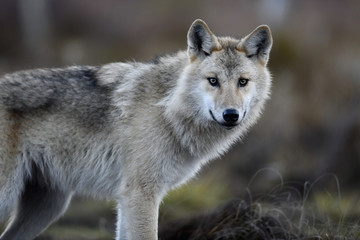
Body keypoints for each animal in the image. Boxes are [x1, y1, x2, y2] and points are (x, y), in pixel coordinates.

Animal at [0, 19, 272, 239]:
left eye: (243, 82)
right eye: (213, 81)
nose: (231, 115)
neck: (168, 108)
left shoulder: (128, 198)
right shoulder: (141, 194)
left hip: (49, 207)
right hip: (12, 197)